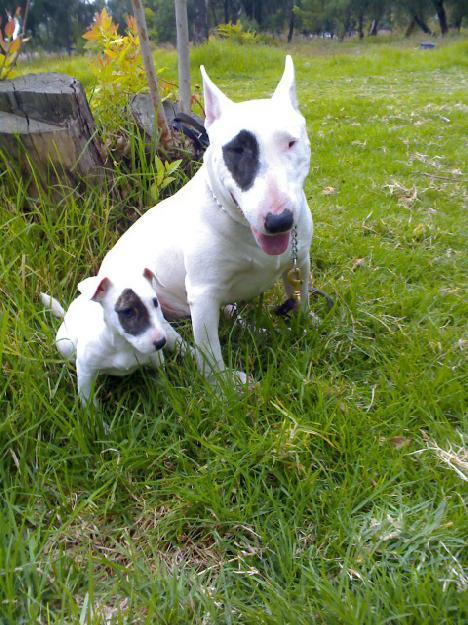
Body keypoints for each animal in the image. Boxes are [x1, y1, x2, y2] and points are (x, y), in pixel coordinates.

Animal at [40, 266, 186, 404]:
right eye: (127, 311)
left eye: (155, 302)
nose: (161, 342)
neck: (123, 344)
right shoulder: (85, 372)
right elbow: (88, 402)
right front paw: (93, 414)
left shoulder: (156, 362)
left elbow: (161, 382)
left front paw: (167, 398)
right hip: (65, 345)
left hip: (167, 330)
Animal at [98, 58, 310, 382]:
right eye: (236, 149)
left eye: (290, 143)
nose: (280, 221)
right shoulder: (203, 294)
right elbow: (210, 352)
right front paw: (223, 385)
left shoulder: (301, 263)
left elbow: (303, 297)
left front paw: (310, 327)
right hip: (152, 312)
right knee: (182, 344)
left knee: (230, 313)